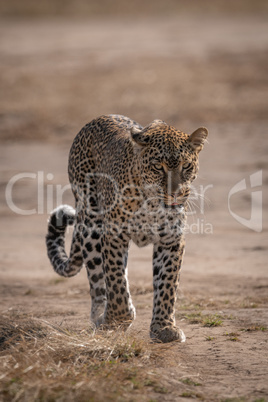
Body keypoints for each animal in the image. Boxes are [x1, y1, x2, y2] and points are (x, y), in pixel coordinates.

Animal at [46, 114, 208, 342]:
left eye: (186, 166)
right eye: (158, 166)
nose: (175, 193)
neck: (151, 203)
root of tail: (100, 117)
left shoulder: (171, 240)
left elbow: (167, 284)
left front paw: (164, 327)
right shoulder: (114, 236)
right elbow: (116, 282)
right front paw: (118, 319)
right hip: (91, 222)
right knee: (97, 280)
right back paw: (101, 317)